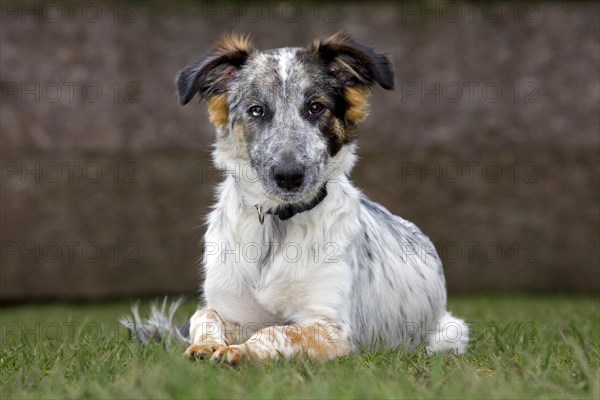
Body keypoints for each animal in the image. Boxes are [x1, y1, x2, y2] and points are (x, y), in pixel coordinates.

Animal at [122, 32, 468, 366]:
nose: (289, 175)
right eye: (256, 110)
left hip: (451, 333)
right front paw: (206, 345)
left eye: (316, 107)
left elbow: (276, 331)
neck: (276, 225)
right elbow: (204, 315)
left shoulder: (331, 327)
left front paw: (241, 352)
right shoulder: (234, 311)